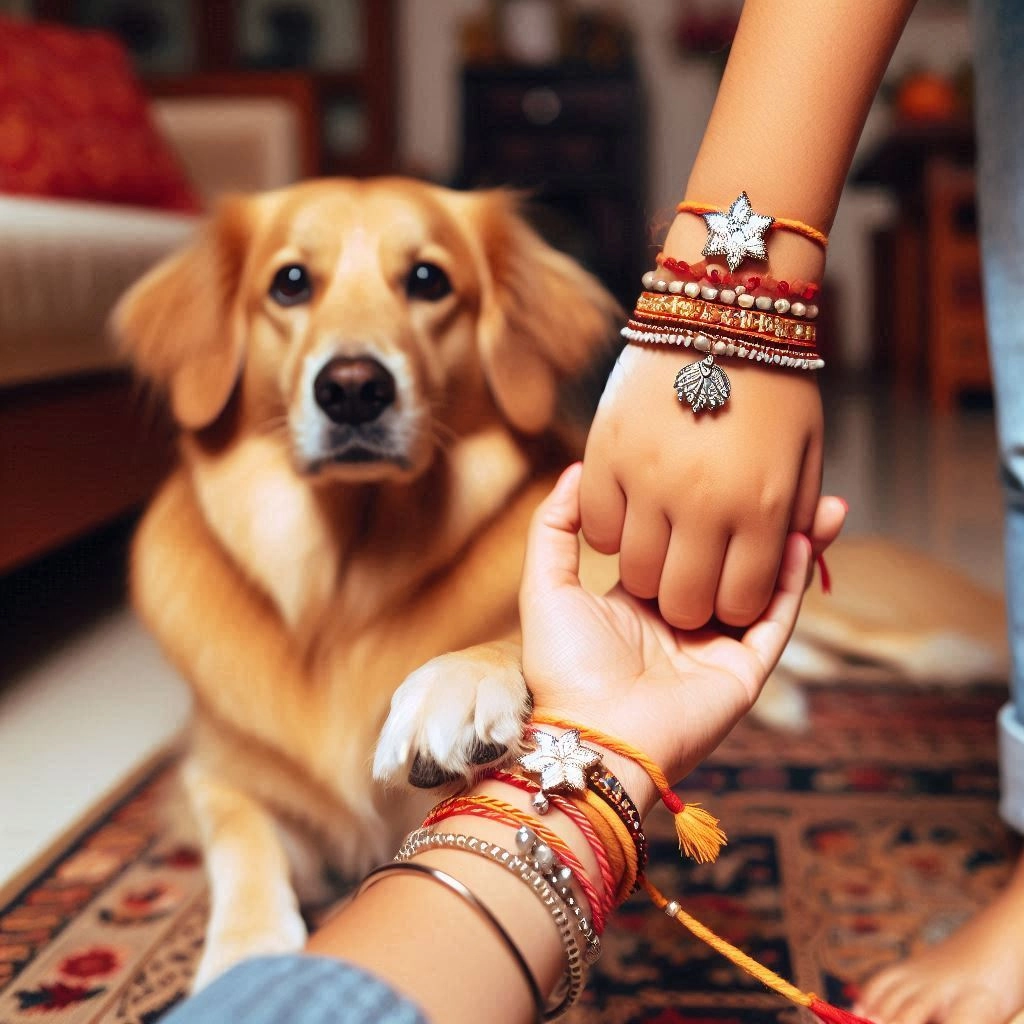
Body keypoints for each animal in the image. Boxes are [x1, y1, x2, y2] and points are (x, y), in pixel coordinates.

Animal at [116, 180, 618, 987]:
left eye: (428, 279)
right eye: (290, 282)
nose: (353, 390)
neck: (344, 588)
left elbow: (516, 636)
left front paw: (459, 681)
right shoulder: (213, 772)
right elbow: (238, 834)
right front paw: (246, 952)